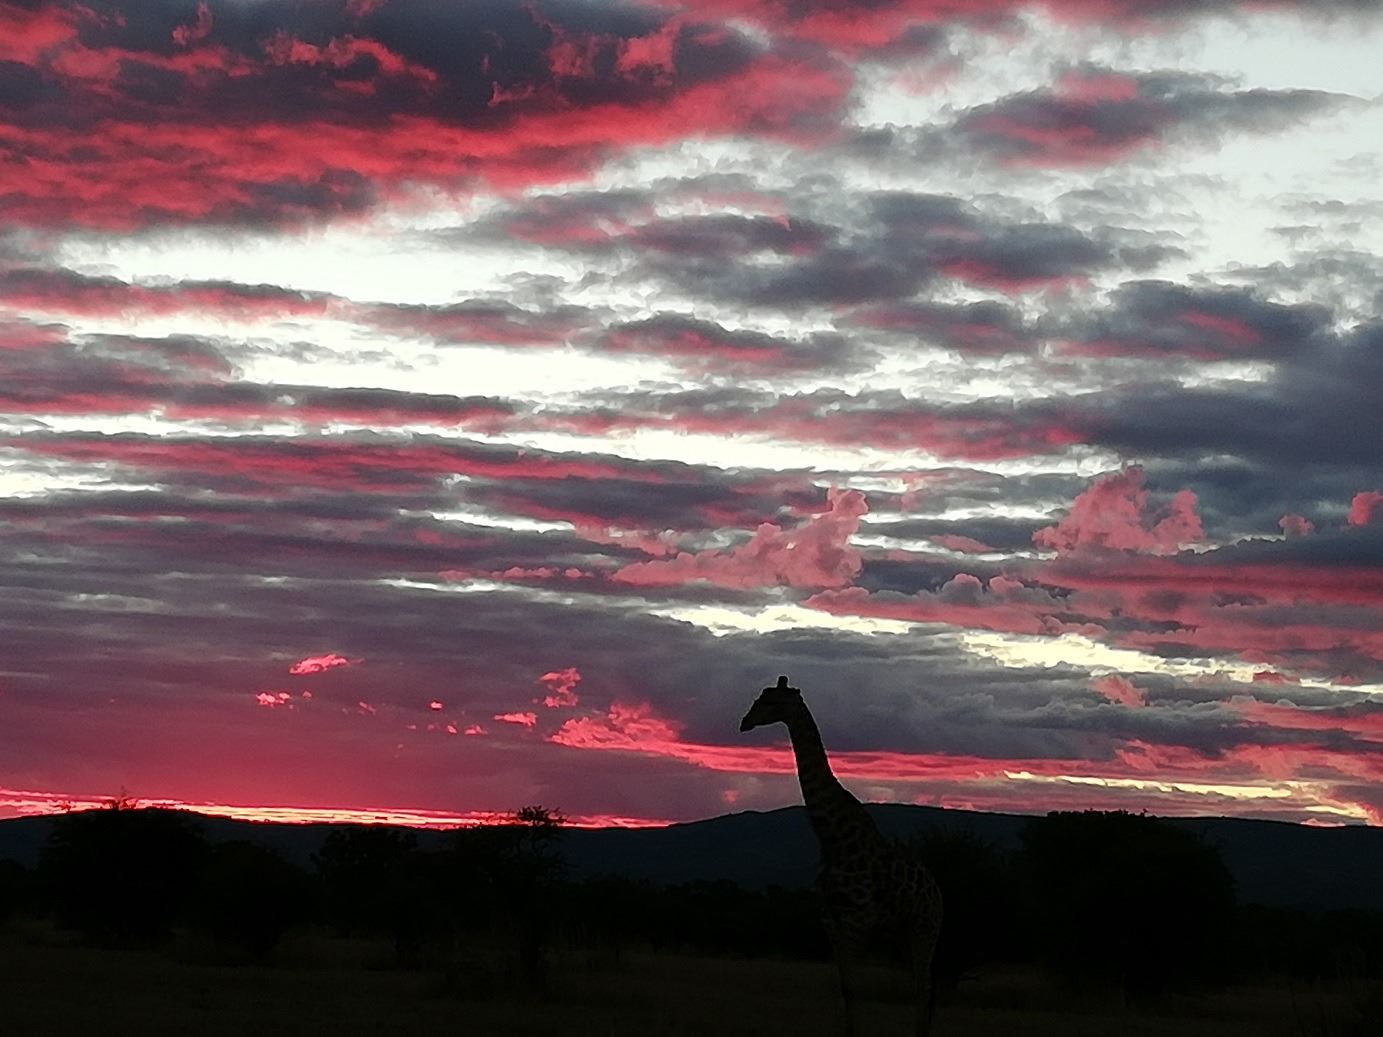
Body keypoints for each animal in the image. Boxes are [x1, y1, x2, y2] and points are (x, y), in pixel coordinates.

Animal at [740, 675, 943, 1037]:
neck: (834, 842)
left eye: (772, 701)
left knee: (925, 985)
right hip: (902, 932)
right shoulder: (832, 922)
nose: (744, 723)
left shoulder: (857, 921)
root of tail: (938, 893)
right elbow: (847, 988)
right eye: (760, 697)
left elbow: (856, 987)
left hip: (925, 928)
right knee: (916, 985)